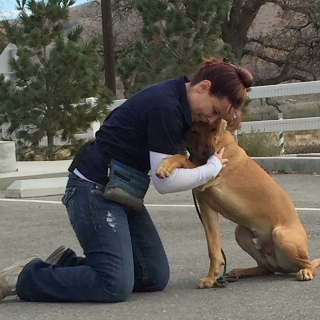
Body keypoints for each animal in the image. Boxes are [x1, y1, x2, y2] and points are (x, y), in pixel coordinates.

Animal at [156, 119, 320, 288]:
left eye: (212, 129)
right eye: (194, 131)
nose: (209, 152)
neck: (219, 140)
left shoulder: (209, 177)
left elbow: (182, 157)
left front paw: (166, 164)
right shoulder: (206, 206)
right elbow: (214, 249)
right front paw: (210, 279)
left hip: (280, 235)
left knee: (308, 264)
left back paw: (306, 271)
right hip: (240, 232)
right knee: (266, 268)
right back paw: (243, 271)